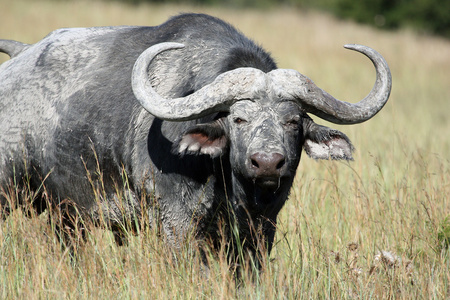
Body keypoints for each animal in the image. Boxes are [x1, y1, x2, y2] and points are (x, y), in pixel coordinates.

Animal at [0, 13, 390, 262]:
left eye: (293, 121)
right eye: (238, 118)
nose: (267, 163)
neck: (230, 186)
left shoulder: (262, 228)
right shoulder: (176, 222)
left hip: (64, 213)